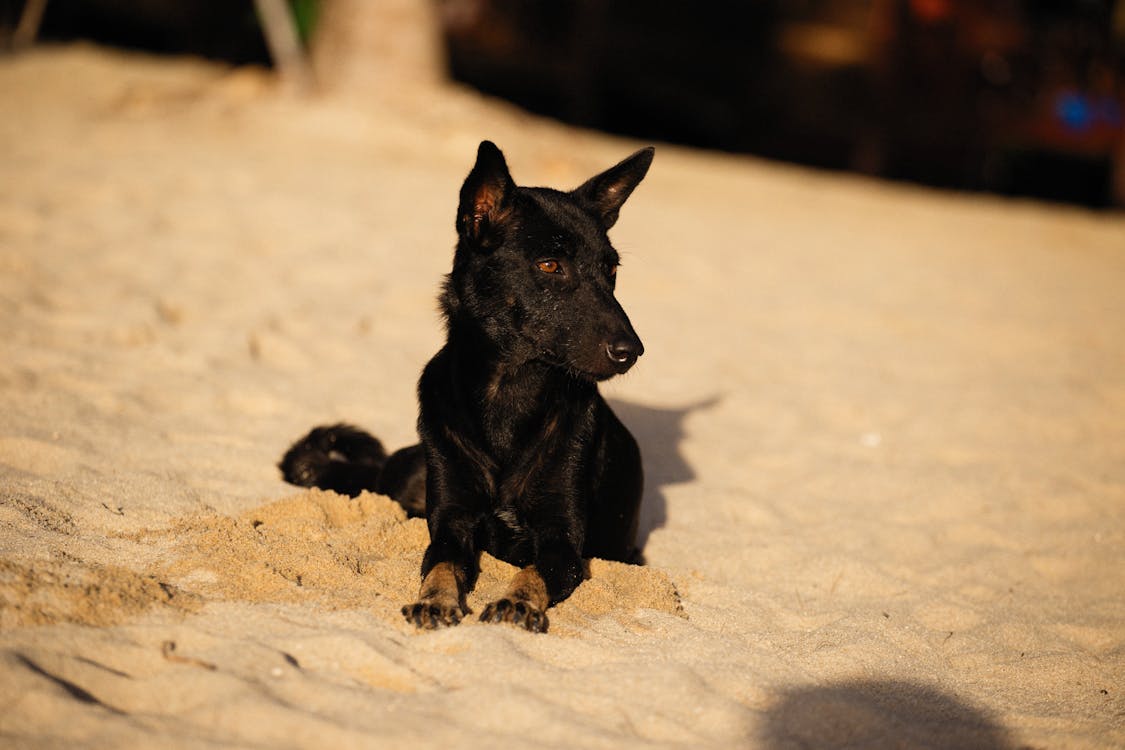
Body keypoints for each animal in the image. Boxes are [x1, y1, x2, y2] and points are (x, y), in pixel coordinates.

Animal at [276, 142, 657, 634]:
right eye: (550, 265)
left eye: (610, 269)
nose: (633, 351)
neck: (509, 391)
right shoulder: (451, 524)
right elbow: (439, 565)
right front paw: (434, 601)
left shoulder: (565, 543)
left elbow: (534, 571)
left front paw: (518, 602)